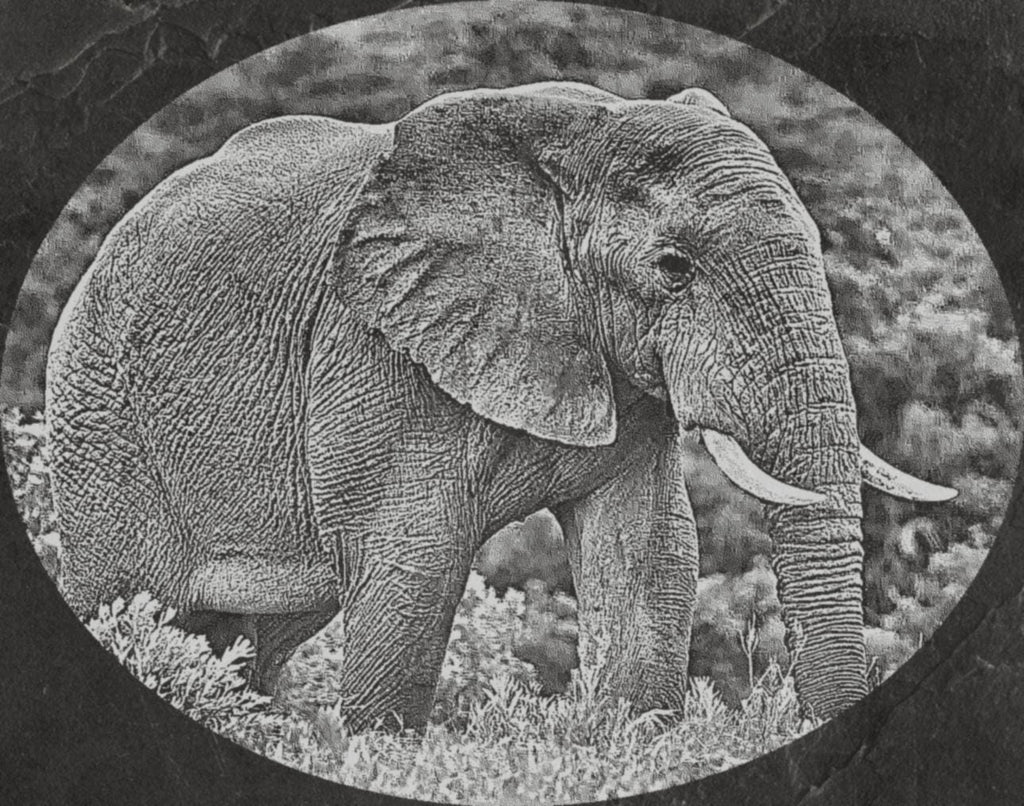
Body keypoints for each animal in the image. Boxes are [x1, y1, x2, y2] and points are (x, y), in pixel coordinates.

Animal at [46, 80, 955, 731]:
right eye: (673, 269)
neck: (579, 133)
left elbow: (650, 550)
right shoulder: (374, 349)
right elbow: (414, 559)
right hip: (100, 422)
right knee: (132, 603)